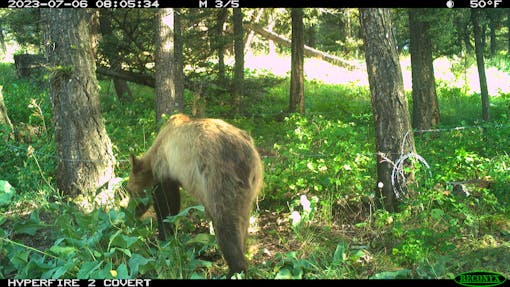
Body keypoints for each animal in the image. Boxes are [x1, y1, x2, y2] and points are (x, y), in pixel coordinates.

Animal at [126, 113, 262, 278]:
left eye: (128, 190)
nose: (130, 212)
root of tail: (247, 156)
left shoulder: (166, 166)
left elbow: (166, 204)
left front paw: (164, 236)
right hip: (250, 190)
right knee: (241, 223)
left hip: (220, 180)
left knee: (226, 224)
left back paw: (234, 270)